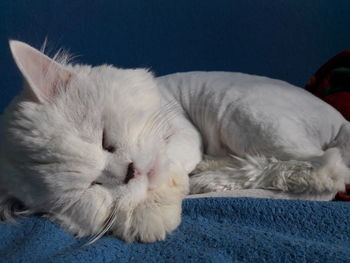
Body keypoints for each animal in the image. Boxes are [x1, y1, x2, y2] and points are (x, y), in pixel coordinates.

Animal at [0, 40, 350, 243]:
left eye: (104, 141)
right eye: (91, 187)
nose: (130, 171)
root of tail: (342, 120)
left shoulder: (184, 130)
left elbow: (169, 164)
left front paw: (153, 211)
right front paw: (149, 212)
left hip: (238, 108)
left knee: (323, 171)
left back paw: (208, 178)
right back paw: (209, 175)